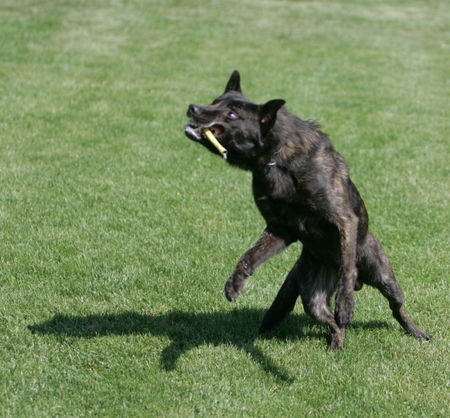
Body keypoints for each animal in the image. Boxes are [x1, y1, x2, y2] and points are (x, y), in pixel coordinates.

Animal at [183, 70, 428, 348]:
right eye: (215, 101)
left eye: (232, 114)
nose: (192, 108)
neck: (277, 159)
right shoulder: (280, 229)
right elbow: (248, 256)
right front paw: (235, 283)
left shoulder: (344, 220)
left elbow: (347, 266)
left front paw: (346, 302)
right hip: (313, 297)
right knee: (332, 322)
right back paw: (336, 345)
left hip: (385, 278)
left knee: (396, 308)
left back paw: (415, 331)